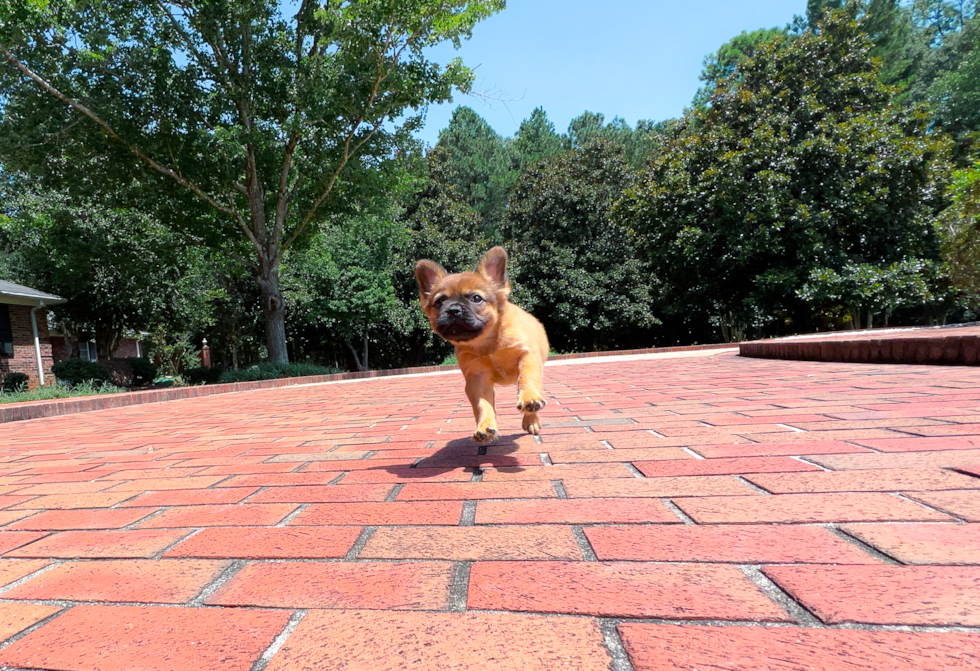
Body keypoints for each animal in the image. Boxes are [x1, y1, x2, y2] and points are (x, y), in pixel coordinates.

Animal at [416, 249, 552, 444]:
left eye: (476, 298)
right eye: (439, 303)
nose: (453, 310)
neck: (487, 342)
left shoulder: (527, 355)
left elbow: (527, 378)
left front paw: (529, 399)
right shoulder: (477, 379)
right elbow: (483, 405)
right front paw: (485, 427)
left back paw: (531, 418)